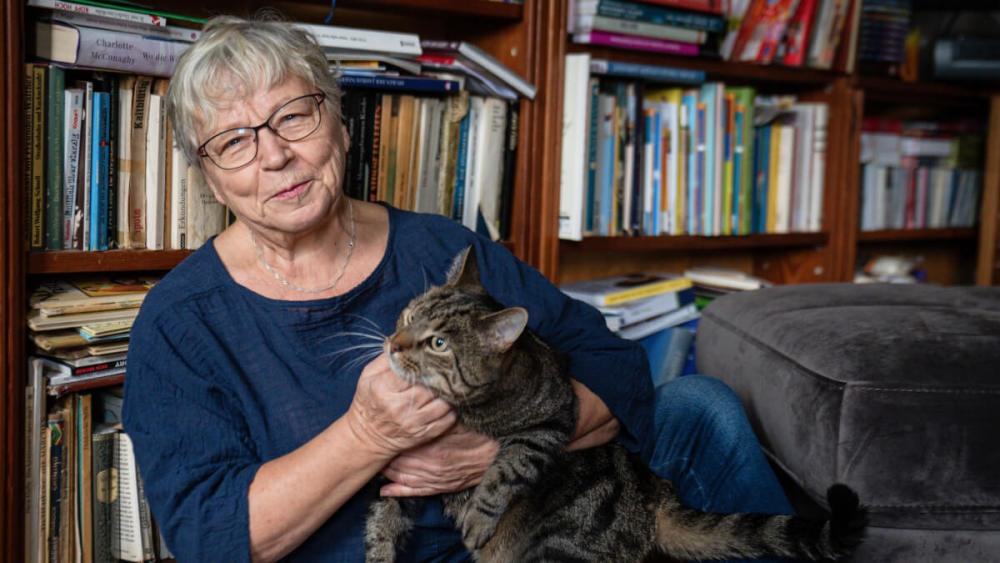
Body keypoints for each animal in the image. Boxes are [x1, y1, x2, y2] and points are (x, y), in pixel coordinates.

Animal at [364, 248, 864, 563]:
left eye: (439, 343)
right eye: (409, 316)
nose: (393, 343)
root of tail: (656, 494)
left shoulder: (551, 421)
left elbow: (505, 469)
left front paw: (478, 516)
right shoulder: (403, 473)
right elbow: (382, 519)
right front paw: (378, 550)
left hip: (562, 550)